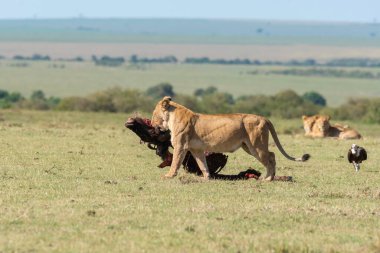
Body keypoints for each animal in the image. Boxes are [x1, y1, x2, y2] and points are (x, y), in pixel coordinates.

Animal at [150, 96, 310, 181]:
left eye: (153, 113)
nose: (151, 123)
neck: (171, 118)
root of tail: (263, 118)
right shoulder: (196, 149)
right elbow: (202, 164)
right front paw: (206, 177)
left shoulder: (181, 145)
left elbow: (175, 162)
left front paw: (169, 175)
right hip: (248, 146)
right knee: (272, 155)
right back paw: (269, 177)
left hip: (256, 146)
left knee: (271, 157)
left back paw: (268, 179)